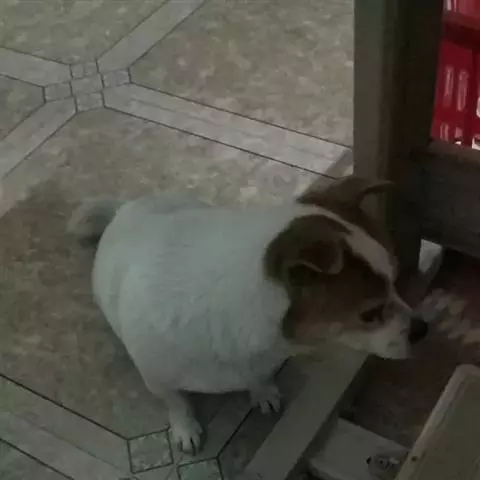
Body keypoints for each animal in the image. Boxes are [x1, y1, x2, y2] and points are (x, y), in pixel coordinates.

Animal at [68, 175, 428, 454]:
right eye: (370, 313)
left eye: (397, 280)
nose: (423, 329)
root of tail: (124, 208)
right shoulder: (157, 379)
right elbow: (176, 402)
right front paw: (185, 427)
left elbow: (261, 376)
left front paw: (262, 391)